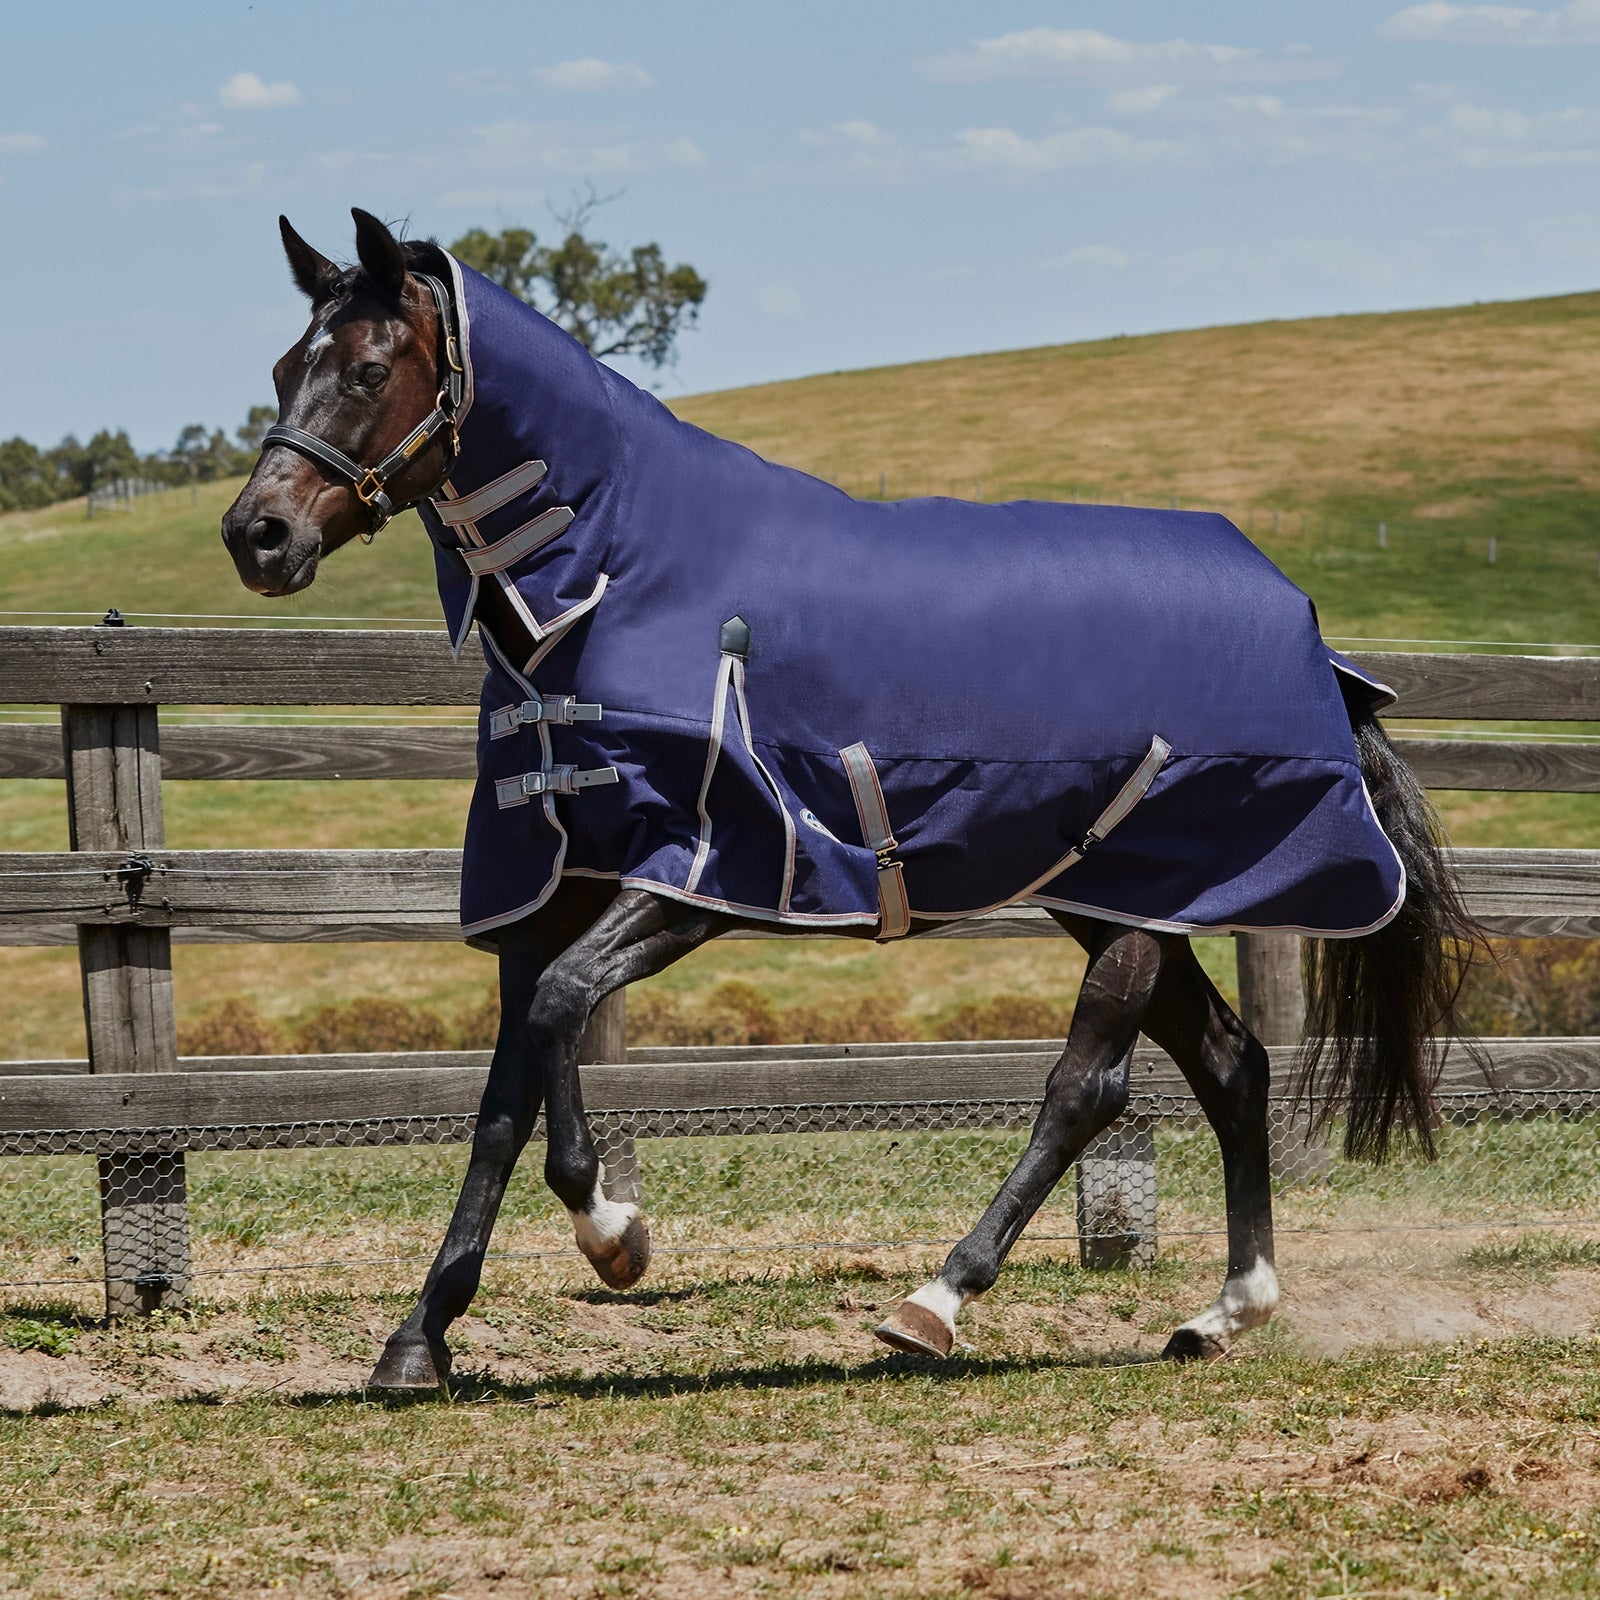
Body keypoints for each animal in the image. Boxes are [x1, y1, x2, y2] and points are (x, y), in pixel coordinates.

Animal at [222, 209, 1478, 1390]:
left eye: (368, 369)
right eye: (284, 366)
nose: (257, 535)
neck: (614, 578)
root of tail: (1307, 629)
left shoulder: (706, 870)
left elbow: (561, 1020)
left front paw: (615, 1234)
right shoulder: (552, 884)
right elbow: (503, 1093)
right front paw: (420, 1336)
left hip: (1143, 896)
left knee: (1090, 1084)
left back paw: (937, 1301)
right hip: (1117, 892)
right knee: (1229, 1060)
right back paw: (1224, 1311)